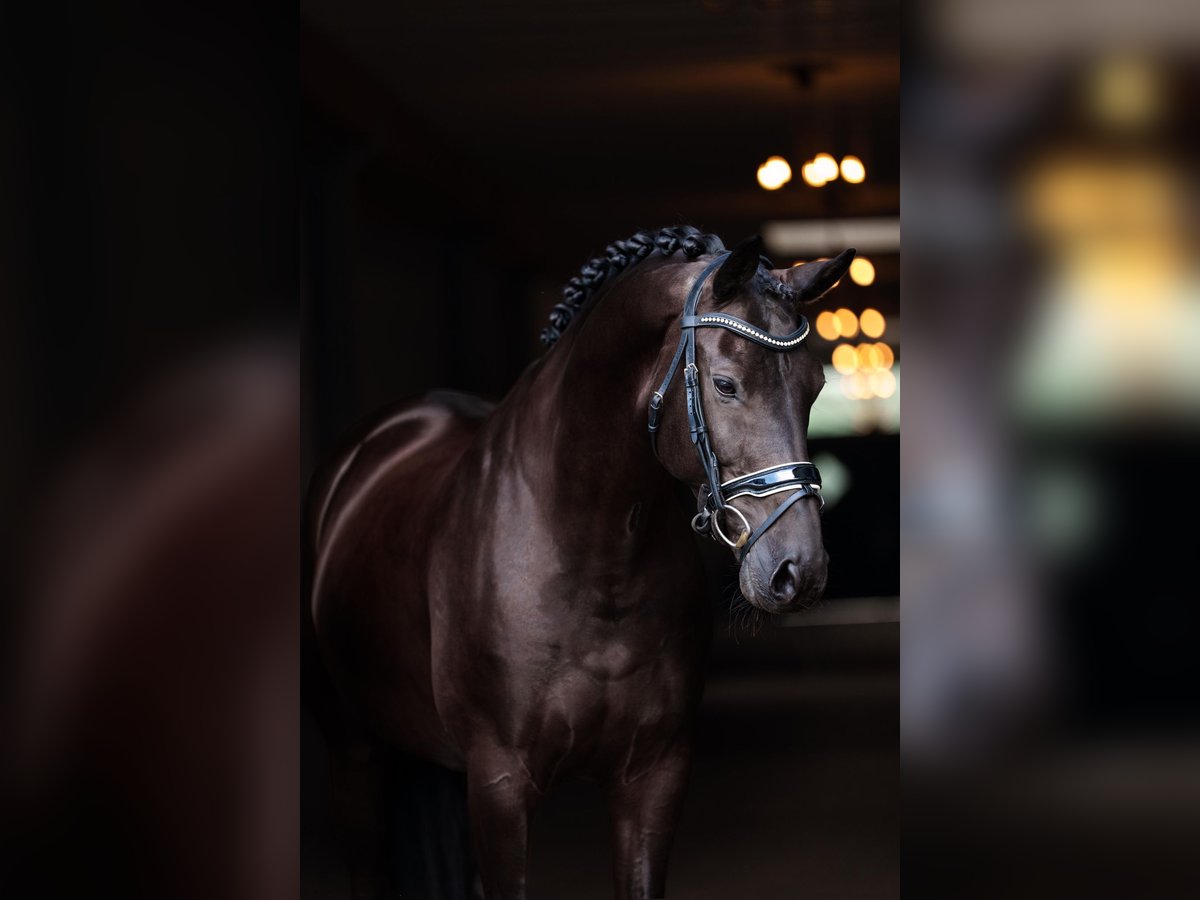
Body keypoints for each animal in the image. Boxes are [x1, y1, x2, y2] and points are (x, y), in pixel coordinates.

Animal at [308, 225, 855, 899]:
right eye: (726, 384)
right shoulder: (500, 785)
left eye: (814, 388)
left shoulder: (653, 776)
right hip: (356, 755)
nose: (799, 570)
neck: (590, 561)